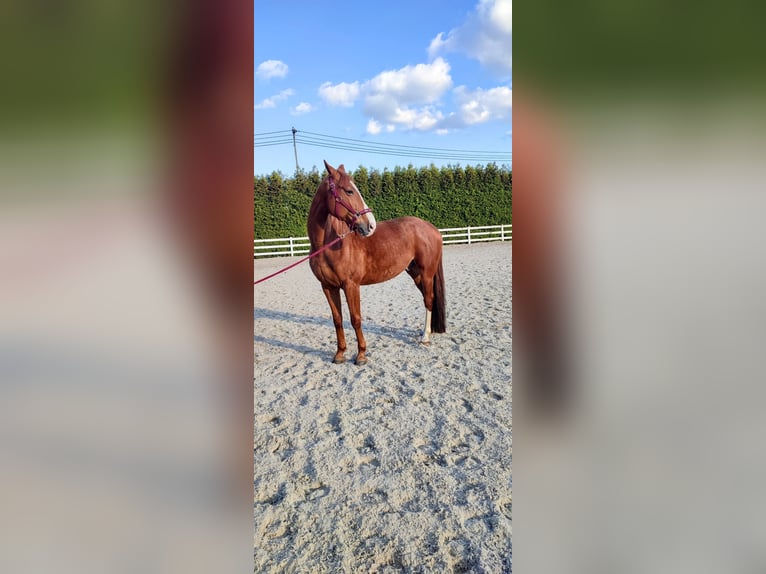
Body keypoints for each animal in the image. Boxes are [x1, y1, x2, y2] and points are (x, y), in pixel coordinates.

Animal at [308, 160, 446, 365]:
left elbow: (355, 318)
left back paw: (425, 337)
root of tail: (432, 228)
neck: (329, 244)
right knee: (427, 299)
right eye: (349, 191)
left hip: (427, 273)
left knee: (429, 300)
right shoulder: (327, 286)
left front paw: (361, 355)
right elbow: (337, 319)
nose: (370, 225)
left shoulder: (351, 285)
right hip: (416, 274)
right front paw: (340, 354)